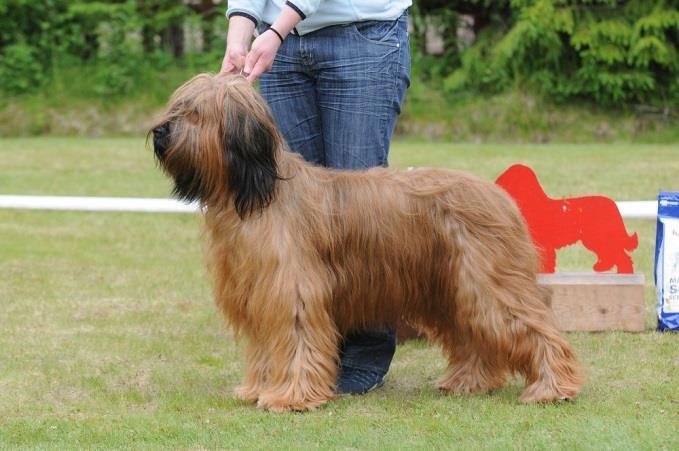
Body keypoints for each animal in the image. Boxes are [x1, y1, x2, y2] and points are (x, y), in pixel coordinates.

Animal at [153, 74, 584, 414]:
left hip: (486, 284)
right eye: (177, 106)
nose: (159, 132)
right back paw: (470, 382)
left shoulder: (293, 291)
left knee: (535, 328)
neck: (261, 192)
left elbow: (296, 341)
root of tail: (501, 196)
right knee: (473, 335)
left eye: (196, 114)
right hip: (450, 290)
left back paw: (553, 388)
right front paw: (257, 389)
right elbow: (265, 347)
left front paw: (290, 397)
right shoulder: (257, 293)